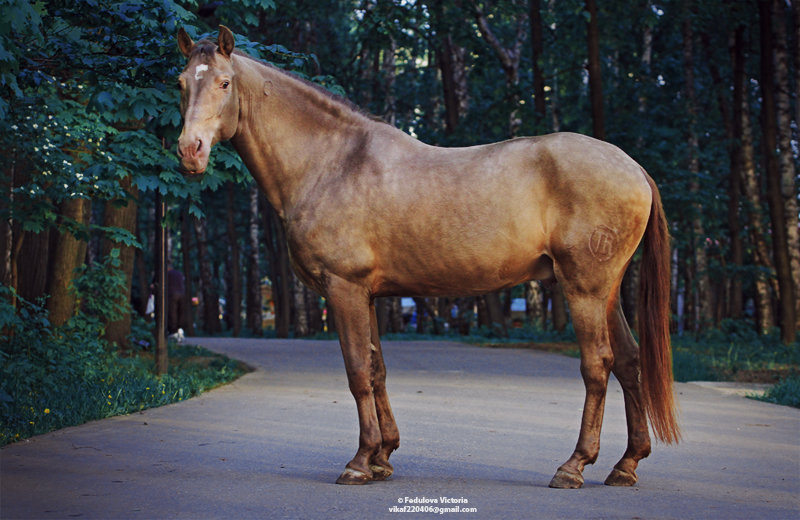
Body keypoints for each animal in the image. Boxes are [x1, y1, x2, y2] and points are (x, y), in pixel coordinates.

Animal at [177, 26, 680, 490]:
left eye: (224, 82)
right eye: (182, 82)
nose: (190, 150)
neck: (331, 162)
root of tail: (633, 167)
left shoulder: (344, 288)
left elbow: (357, 371)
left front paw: (359, 462)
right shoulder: (368, 295)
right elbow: (377, 369)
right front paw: (382, 457)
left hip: (584, 289)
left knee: (598, 364)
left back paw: (573, 466)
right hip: (606, 291)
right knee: (630, 361)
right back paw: (625, 465)